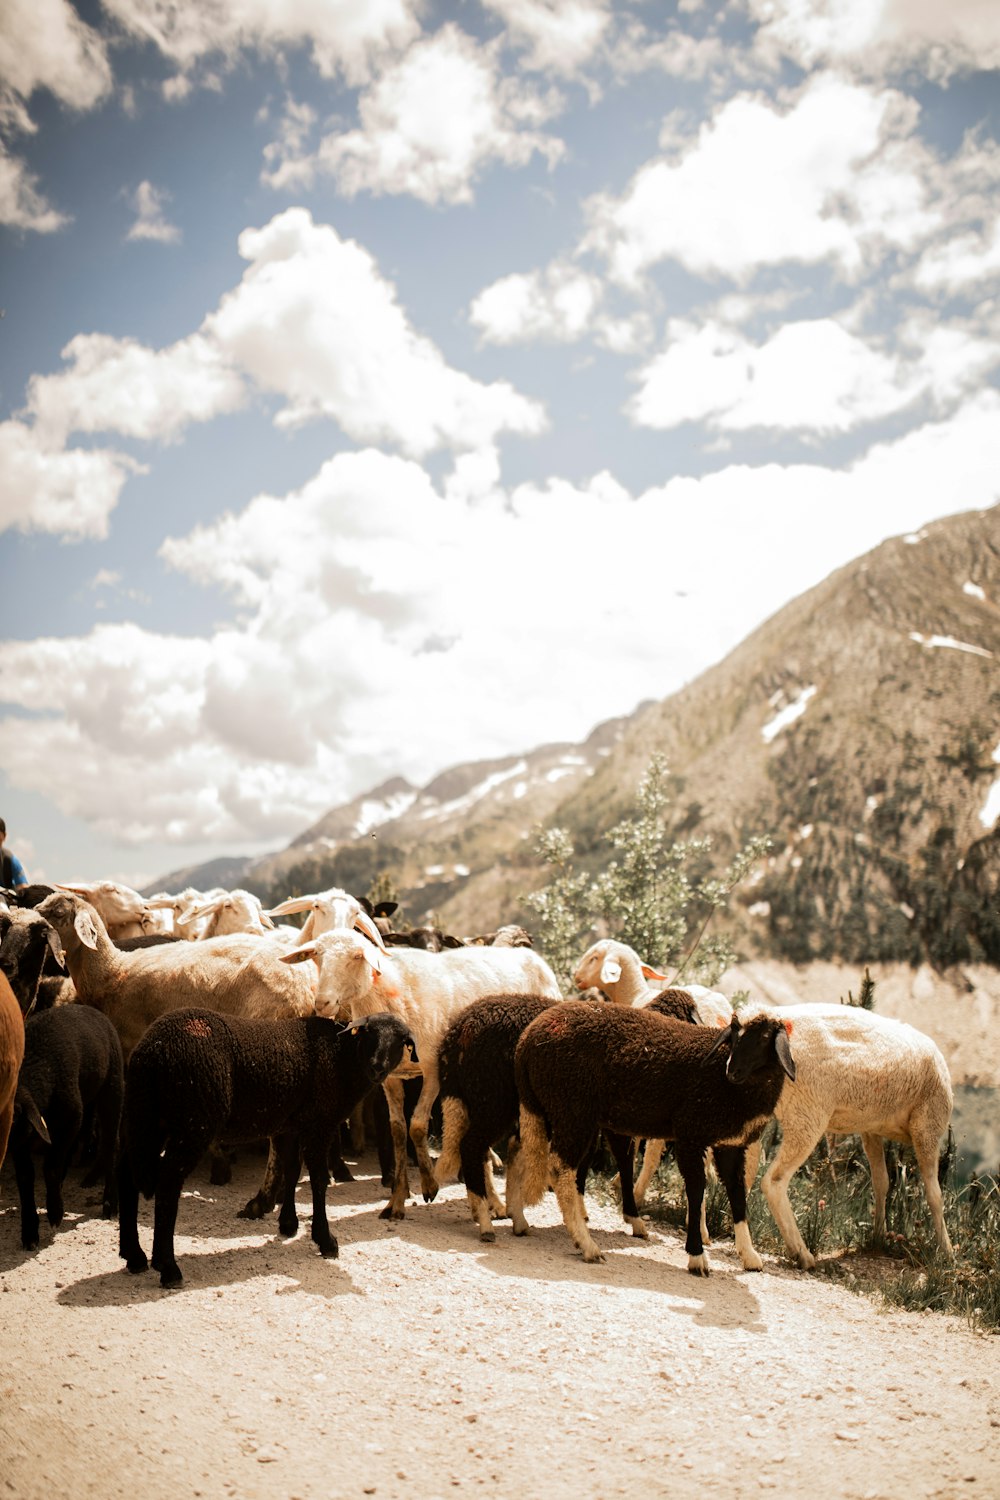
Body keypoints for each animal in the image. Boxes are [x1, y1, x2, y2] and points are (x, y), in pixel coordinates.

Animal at [11, 1002, 124, 1248]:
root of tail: (91, 1009)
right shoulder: (20, 1140)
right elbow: (25, 1177)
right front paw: (30, 1232)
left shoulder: (69, 1119)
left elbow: (51, 1168)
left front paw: (55, 1213)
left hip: (111, 1087)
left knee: (111, 1145)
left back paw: (110, 1204)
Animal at [121, 1008, 419, 1290]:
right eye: (369, 1033)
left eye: (400, 1041)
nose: (377, 1067)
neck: (342, 1057)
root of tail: (152, 1049)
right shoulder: (318, 1124)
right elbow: (318, 1181)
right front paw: (325, 1241)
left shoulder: (290, 1125)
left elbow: (291, 1170)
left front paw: (288, 1225)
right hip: (193, 1122)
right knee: (167, 1183)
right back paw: (168, 1267)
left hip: (146, 1117)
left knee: (128, 1177)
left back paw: (135, 1257)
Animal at [281, 924, 563, 1218]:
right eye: (317, 955)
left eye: (357, 956)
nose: (322, 1002)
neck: (392, 991)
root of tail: (529, 955)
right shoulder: (390, 1079)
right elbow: (397, 1129)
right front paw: (396, 1199)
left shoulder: (432, 1071)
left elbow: (417, 1126)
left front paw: (429, 1185)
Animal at [512, 1002, 791, 1272]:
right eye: (733, 1033)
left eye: (765, 1036)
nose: (732, 1071)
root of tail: (526, 1042)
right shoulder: (690, 1134)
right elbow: (696, 1191)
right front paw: (697, 1256)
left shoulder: (729, 1145)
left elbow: (737, 1192)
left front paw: (749, 1256)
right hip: (571, 1108)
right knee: (560, 1169)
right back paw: (586, 1244)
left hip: (553, 1110)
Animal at [743, 996, 953, 1266]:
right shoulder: (928, 1127)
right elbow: (934, 1194)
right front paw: (947, 1252)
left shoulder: (871, 1129)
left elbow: (881, 1182)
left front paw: (879, 1236)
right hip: (807, 1114)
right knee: (774, 1181)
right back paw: (801, 1252)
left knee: (744, 1171)